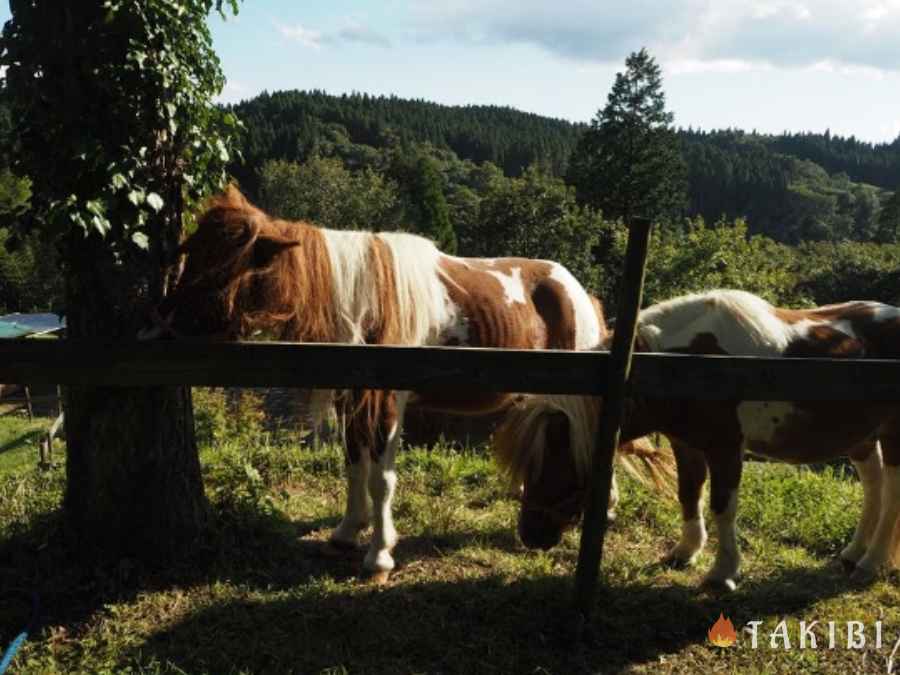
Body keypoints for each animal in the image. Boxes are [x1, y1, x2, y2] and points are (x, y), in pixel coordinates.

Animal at [146, 185, 668, 580]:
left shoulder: (387, 402)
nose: (162, 323)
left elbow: (382, 479)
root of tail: (577, 290)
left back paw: (606, 507)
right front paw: (346, 532)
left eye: (224, 266)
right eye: (191, 251)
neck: (363, 300)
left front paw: (379, 554)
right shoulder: (353, 399)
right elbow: (354, 466)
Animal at [496, 290, 900, 592]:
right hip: (862, 437)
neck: (690, 365)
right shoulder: (686, 445)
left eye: (556, 464)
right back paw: (853, 553)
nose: (530, 535)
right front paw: (685, 551)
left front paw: (723, 573)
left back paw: (871, 562)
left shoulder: (726, 449)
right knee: (874, 485)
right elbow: (689, 493)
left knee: (892, 492)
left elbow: (723, 507)